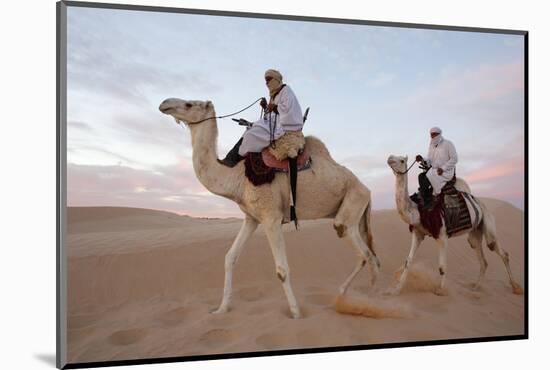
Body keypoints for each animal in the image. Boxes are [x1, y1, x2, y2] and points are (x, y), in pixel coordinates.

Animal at [160, 98, 382, 318]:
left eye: (189, 104)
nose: (164, 104)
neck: (237, 177)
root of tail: (368, 190)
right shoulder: (251, 218)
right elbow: (230, 258)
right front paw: (221, 309)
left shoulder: (271, 217)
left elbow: (282, 269)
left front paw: (296, 314)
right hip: (356, 213)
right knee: (370, 255)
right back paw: (354, 295)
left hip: (352, 204)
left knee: (365, 253)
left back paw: (369, 301)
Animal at [386, 155, 524, 296]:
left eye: (402, 160)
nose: (389, 158)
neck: (418, 210)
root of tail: (480, 204)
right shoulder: (418, 233)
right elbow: (408, 261)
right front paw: (396, 289)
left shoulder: (442, 236)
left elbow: (442, 266)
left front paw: (440, 290)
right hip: (475, 233)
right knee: (482, 259)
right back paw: (476, 287)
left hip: (488, 221)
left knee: (498, 250)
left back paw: (516, 288)